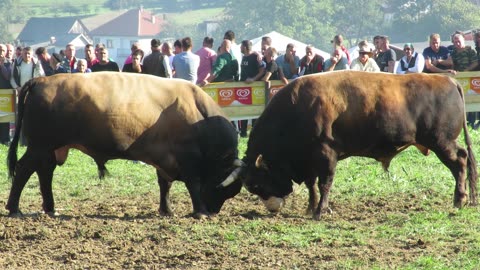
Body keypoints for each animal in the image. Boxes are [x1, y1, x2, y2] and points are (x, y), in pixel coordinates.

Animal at [8, 72, 244, 219]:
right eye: (224, 189)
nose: (214, 210)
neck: (198, 114)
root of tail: (41, 80)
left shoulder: (165, 158)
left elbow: (164, 184)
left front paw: (166, 210)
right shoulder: (188, 158)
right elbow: (193, 184)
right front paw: (200, 212)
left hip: (50, 148)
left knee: (44, 172)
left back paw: (50, 208)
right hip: (40, 146)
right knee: (24, 169)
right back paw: (14, 208)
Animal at [224, 70, 476, 220]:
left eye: (256, 184)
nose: (272, 208)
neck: (298, 108)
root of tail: (447, 80)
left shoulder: (326, 154)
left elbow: (324, 183)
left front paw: (320, 211)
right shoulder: (309, 160)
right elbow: (312, 185)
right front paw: (311, 207)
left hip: (442, 142)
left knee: (460, 162)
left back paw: (460, 199)